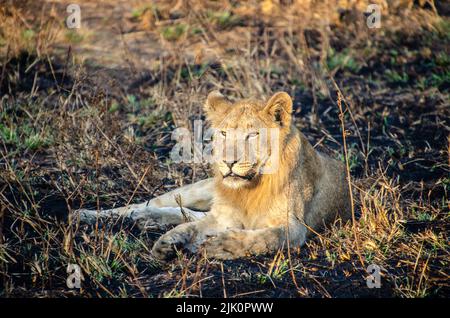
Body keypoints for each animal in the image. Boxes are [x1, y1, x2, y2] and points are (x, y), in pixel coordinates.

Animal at [76, 90, 352, 260]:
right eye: (223, 133)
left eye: (252, 135)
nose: (228, 162)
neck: (250, 189)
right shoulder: (223, 216)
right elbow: (192, 226)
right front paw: (168, 242)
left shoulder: (294, 228)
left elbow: (263, 237)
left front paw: (220, 245)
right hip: (197, 190)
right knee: (147, 205)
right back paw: (88, 215)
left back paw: (149, 220)